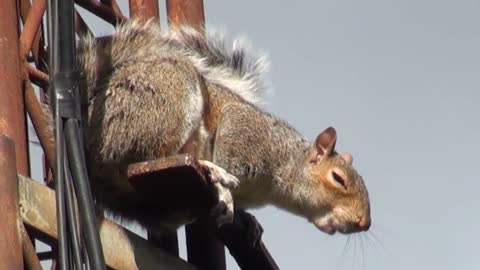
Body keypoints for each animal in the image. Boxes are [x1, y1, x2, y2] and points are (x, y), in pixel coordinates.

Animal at [61, 18, 372, 234]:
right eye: (338, 178)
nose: (363, 222)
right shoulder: (244, 132)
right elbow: (231, 155)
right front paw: (227, 195)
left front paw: (250, 223)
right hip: (169, 101)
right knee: (146, 158)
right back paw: (208, 168)